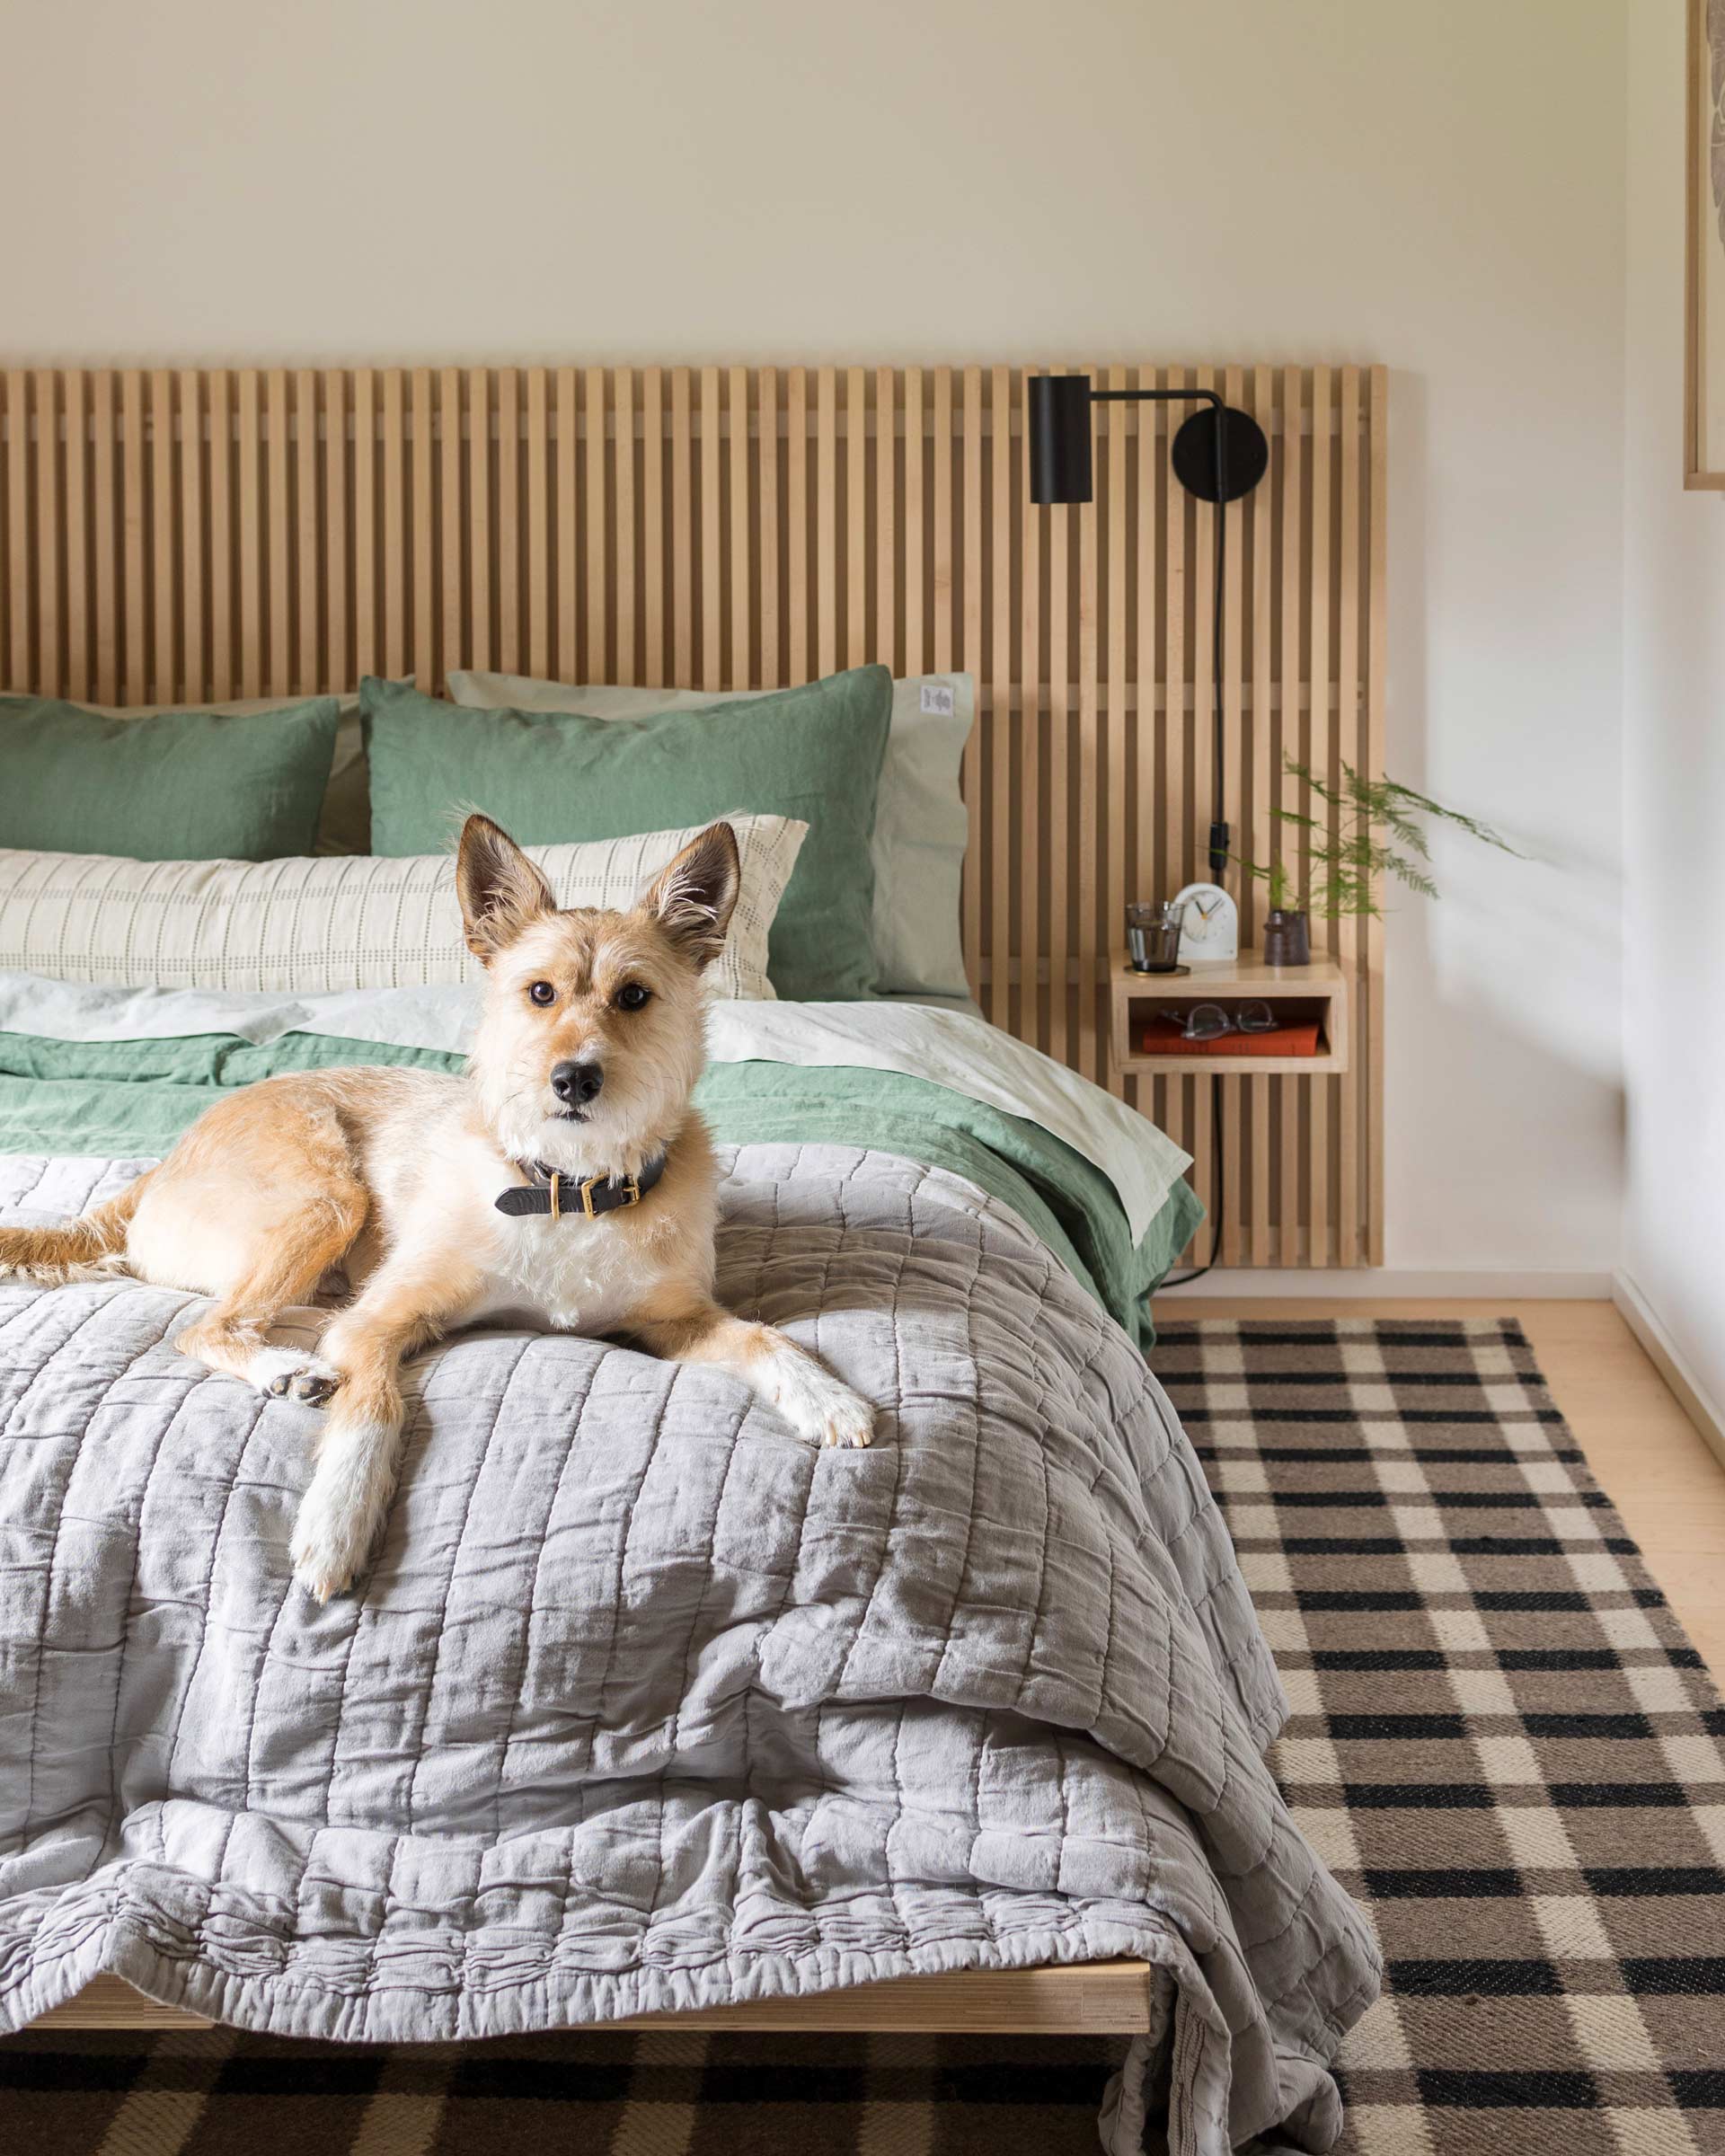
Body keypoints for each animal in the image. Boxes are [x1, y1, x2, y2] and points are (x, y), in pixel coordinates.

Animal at [3, 815, 875, 1613]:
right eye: (540, 993)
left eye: (635, 997)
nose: (574, 1079)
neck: (568, 1186)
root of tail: (158, 1168)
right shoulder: (377, 1323)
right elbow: (373, 1401)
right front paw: (336, 1523)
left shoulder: (677, 1322)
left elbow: (761, 1335)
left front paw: (826, 1397)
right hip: (329, 1200)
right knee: (207, 1325)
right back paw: (287, 1367)